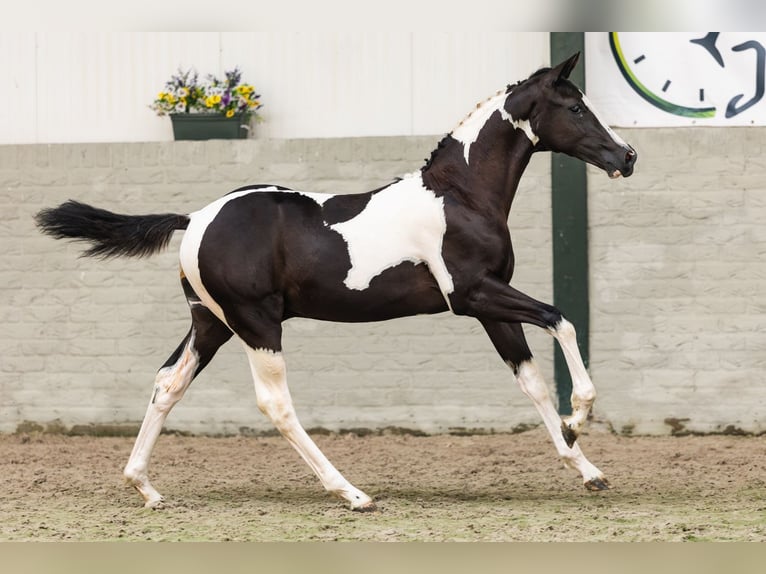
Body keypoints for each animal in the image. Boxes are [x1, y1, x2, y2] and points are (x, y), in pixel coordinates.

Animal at [35, 52, 636, 511]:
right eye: (575, 106)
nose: (626, 156)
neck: (460, 195)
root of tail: (197, 218)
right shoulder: (471, 295)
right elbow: (561, 320)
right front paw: (580, 416)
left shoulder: (489, 305)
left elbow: (532, 380)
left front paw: (585, 466)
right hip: (256, 323)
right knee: (275, 404)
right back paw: (351, 493)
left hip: (212, 324)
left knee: (168, 383)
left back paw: (146, 488)